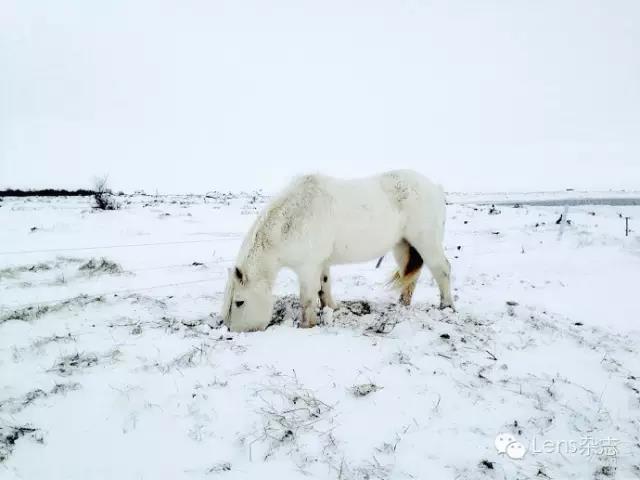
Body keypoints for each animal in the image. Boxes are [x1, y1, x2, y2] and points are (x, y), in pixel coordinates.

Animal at [222, 171, 452, 332]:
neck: (293, 220)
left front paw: (306, 325)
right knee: (410, 275)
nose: (232, 331)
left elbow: (307, 298)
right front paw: (331, 308)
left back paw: (446, 306)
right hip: (403, 245)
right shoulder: (321, 263)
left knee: (442, 269)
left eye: (239, 302)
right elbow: (324, 287)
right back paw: (402, 304)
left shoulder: (307, 268)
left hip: (426, 242)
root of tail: (436, 188)